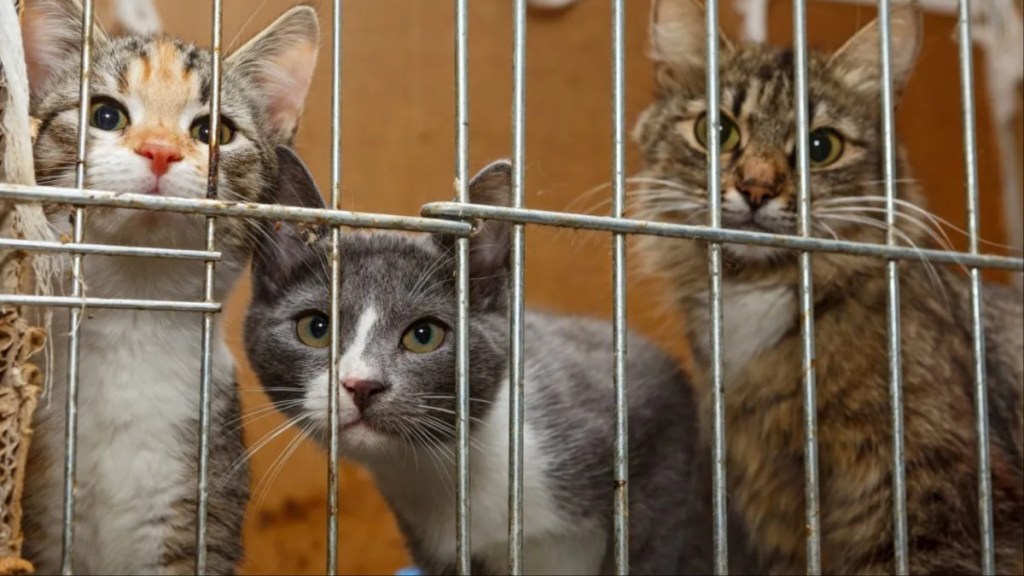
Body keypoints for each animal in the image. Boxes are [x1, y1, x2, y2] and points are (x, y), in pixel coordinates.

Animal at [243, 145, 741, 569]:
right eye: (316, 328)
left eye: (424, 335)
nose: (362, 384)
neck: (445, 469)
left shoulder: (655, 407)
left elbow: (648, 546)